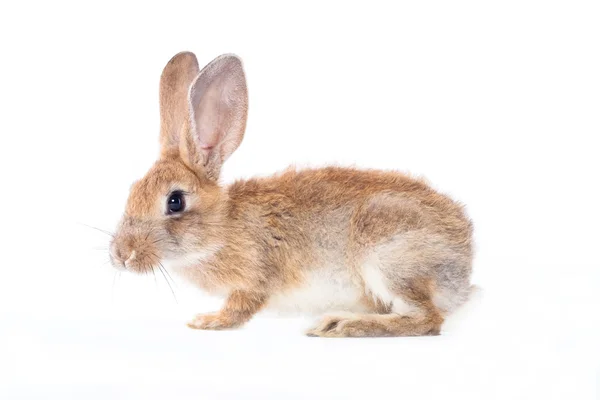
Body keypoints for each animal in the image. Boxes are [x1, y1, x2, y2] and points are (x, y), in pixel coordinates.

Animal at [108, 50, 474, 338]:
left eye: (175, 201)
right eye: (132, 190)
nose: (121, 255)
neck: (222, 228)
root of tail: (464, 265)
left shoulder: (256, 274)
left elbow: (240, 307)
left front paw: (208, 321)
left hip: (388, 260)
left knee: (427, 319)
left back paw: (342, 325)